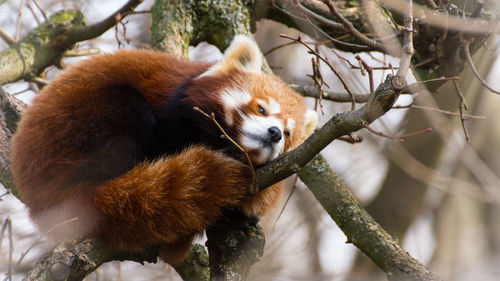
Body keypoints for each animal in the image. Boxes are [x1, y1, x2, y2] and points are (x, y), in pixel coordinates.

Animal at [10, 35, 316, 264]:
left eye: (288, 133)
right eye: (261, 109)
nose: (274, 133)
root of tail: (38, 193)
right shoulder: (174, 112)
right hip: (78, 130)